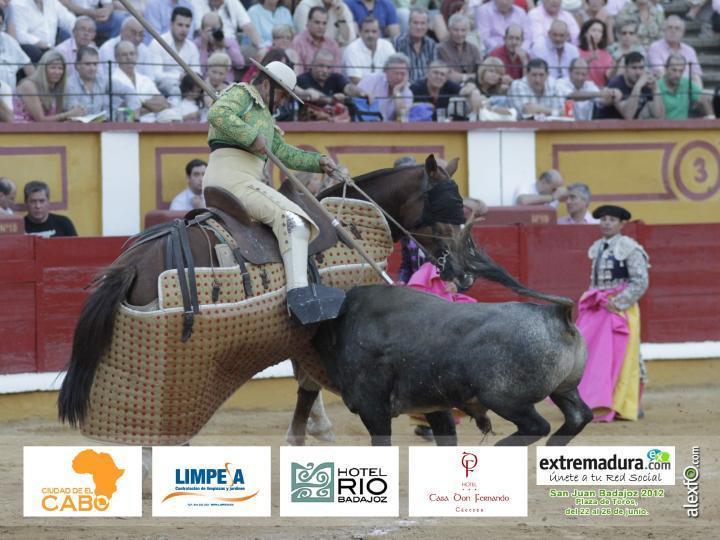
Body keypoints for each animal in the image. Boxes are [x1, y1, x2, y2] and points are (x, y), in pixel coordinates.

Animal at [59, 155, 470, 442]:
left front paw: (312, 429)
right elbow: (308, 385)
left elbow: (306, 383)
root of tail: (133, 263)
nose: (465, 272)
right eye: (442, 209)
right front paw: (306, 433)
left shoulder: (303, 338)